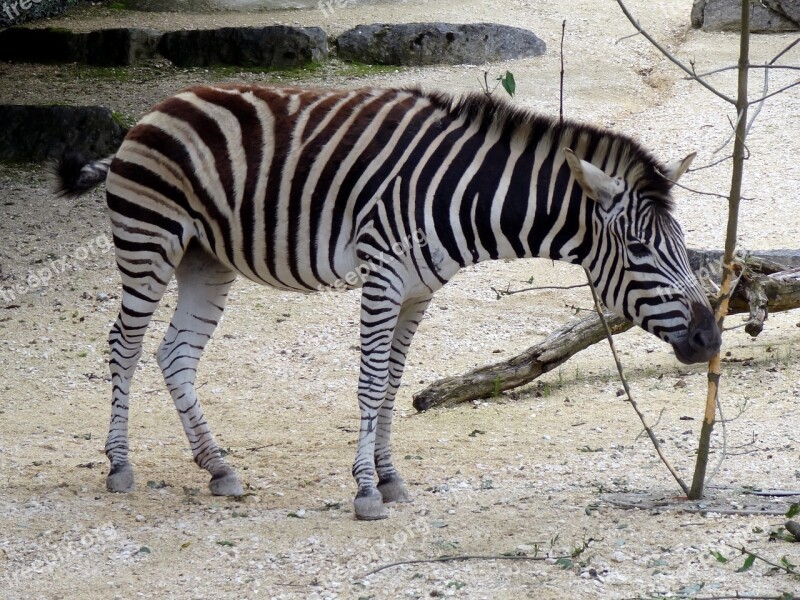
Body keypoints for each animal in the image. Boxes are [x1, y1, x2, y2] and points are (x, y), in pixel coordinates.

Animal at [53, 84, 720, 520]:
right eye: (639, 248)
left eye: (683, 243)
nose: (710, 337)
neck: (464, 194)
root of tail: (153, 112)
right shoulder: (383, 276)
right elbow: (371, 382)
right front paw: (366, 491)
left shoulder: (418, 291)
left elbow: (395, 383)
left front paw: (391, 477)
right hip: (150, 241)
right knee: (124, 345)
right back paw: (119, 466)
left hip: (206, 258)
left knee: (175, 355)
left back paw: (217, 467)